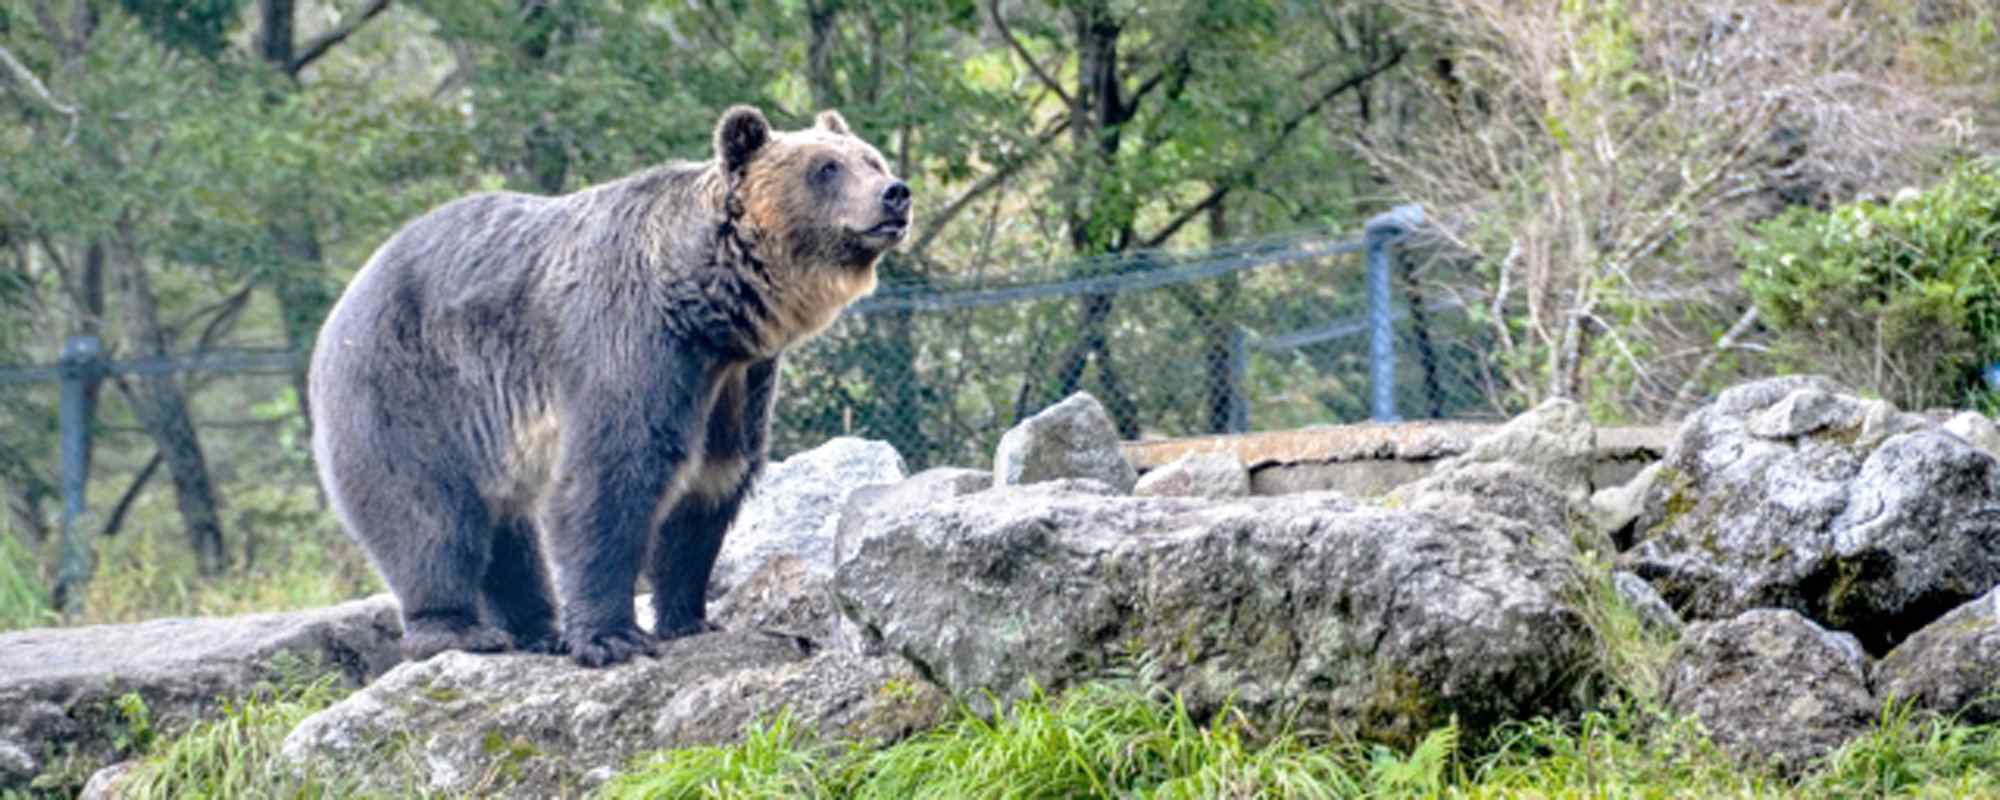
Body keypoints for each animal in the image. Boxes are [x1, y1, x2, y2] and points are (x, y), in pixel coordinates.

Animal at [308, 106, 912, 668]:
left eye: (871, 158)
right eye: (825, 167)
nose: (895, 193)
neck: (706, 305)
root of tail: (339, 308)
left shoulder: (737, 380)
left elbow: (709, 486)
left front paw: (689, 618)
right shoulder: (632, 344)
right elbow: (611, 475)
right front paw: (611, 637)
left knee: (506, 529)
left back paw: (537, 629)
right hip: (405, 391)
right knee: (428, 516)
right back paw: (458, 629)